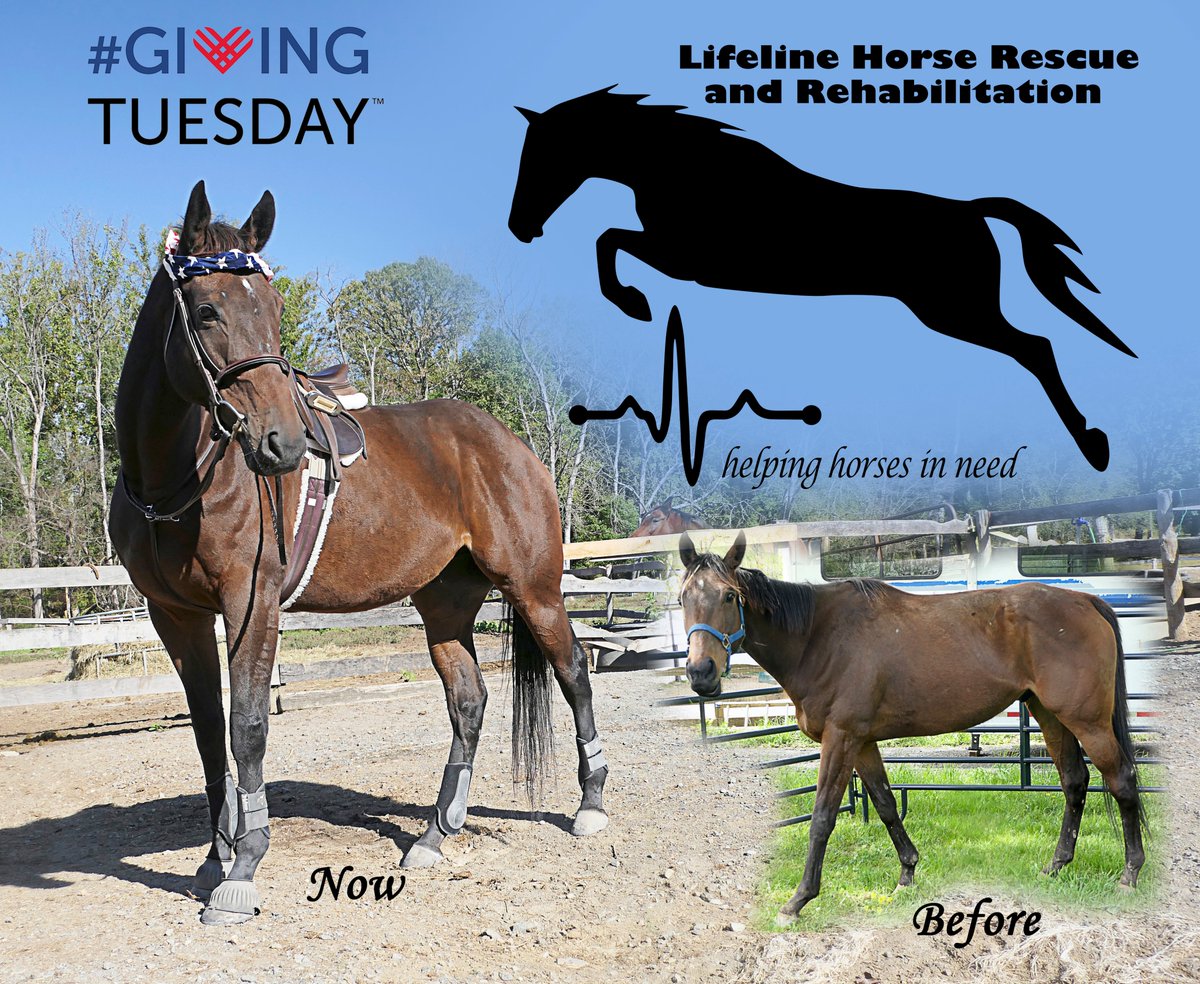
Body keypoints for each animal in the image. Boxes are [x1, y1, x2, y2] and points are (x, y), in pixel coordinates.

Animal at [108, 181, 610, 926]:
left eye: (273, 309)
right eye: (205, 310)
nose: (283, 443)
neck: (177, 477)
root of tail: (507, 442)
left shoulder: (251, 603)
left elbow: (247, 727)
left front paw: (243, 869)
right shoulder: (176, 615)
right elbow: (207, 733)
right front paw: (214, 858)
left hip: (535, 588)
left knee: (573, 671)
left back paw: (590, 803)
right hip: (445, 606)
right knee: (469, 700)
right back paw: (435, 834)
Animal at [507, 87, 1136, 472]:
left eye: (542, 157)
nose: (519, 227)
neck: (687, 168)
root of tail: (970, 211)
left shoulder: (685, 258)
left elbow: (607, 238)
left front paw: (633, 302)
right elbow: (608, 238)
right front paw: (633, 300)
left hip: (956, 311)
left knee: (1037, 347)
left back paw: (1094, 444)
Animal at [677, 531, 1145, 921]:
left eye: (729, 595)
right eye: (682, 598)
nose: (701, 673)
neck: (819, 638)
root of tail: (1086, 602)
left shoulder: (840, 739)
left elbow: (822, 816)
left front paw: (798, 899)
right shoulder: (862, 742)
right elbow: (885, 804)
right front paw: (907, 873)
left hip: (1087, 720)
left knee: (1121, 779)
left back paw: (1130, 874)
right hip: (1049, 714)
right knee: (1075, 781)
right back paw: (1056, 866)